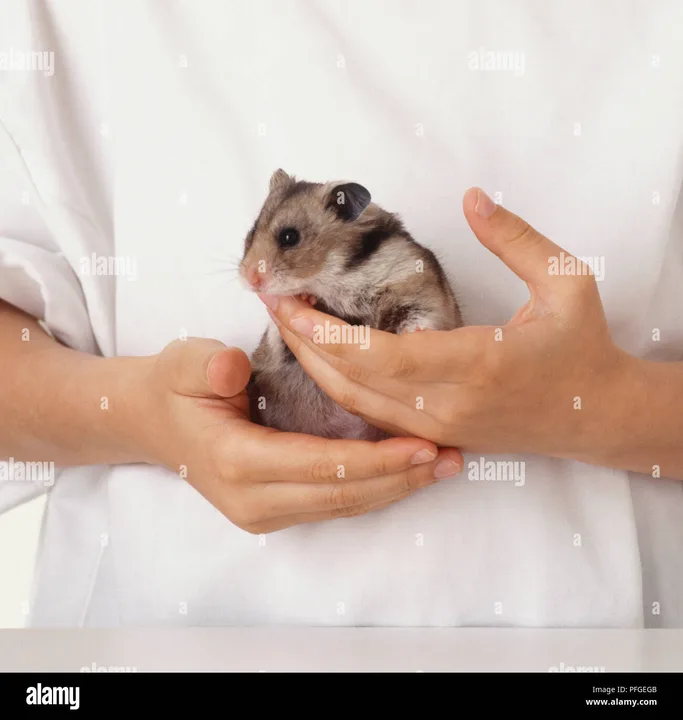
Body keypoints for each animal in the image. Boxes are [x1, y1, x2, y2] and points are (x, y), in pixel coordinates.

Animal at [240, 169, 462, 440]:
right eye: (253, 231)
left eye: (289, 237)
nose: (248, 279)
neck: (335, 276)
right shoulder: (276, 352)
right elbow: (276, 338)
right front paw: (307, 298)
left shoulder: (416, 284)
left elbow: (418, 312)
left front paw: (418, 333)